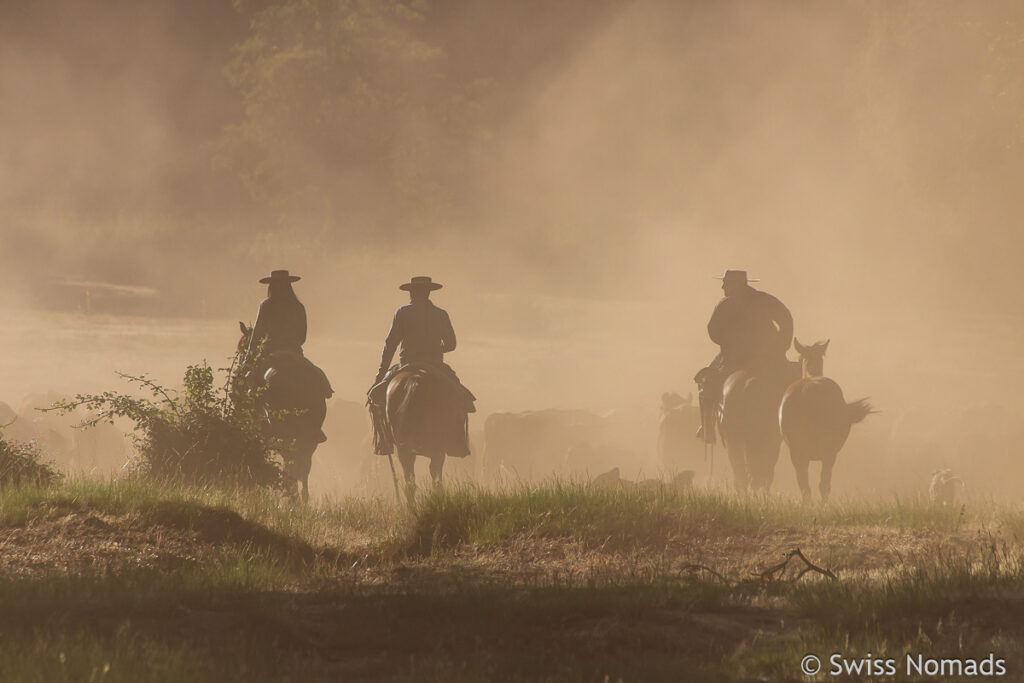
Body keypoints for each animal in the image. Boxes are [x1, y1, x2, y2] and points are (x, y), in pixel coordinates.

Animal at [234, 323, 327, 499]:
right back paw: (302, 497)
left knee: (292, 460)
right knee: (304, 463)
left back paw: (291, 494)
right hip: (308, 434)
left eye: (242, 346)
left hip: (285, 431)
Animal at [382, 366, 466, 505]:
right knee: (434, 479)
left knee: (410, 483)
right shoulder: (439, 450)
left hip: (404, 449)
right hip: (436, 447)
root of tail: (415, 380)